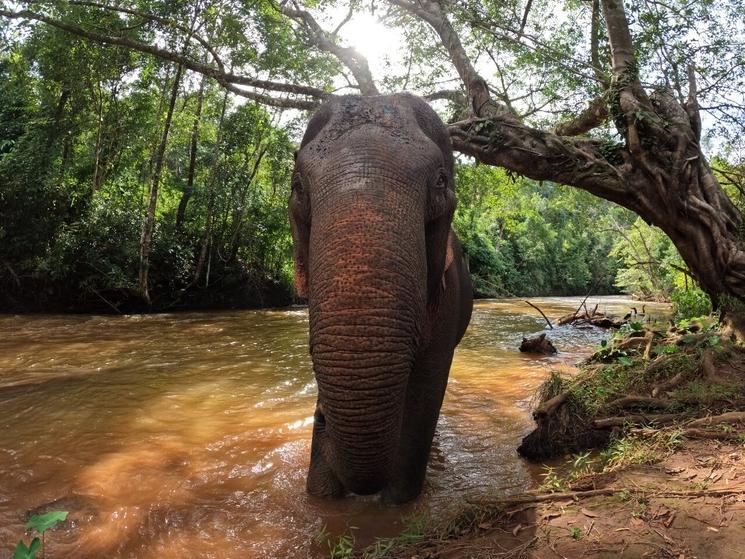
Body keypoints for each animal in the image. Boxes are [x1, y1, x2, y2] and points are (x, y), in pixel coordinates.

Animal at [290, 94, 470, 506]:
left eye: (440, 181)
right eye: (297, 185)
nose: (320, 418)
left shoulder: (447, 303)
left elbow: (424, 394)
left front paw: (394, 504)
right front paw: (322, 498)